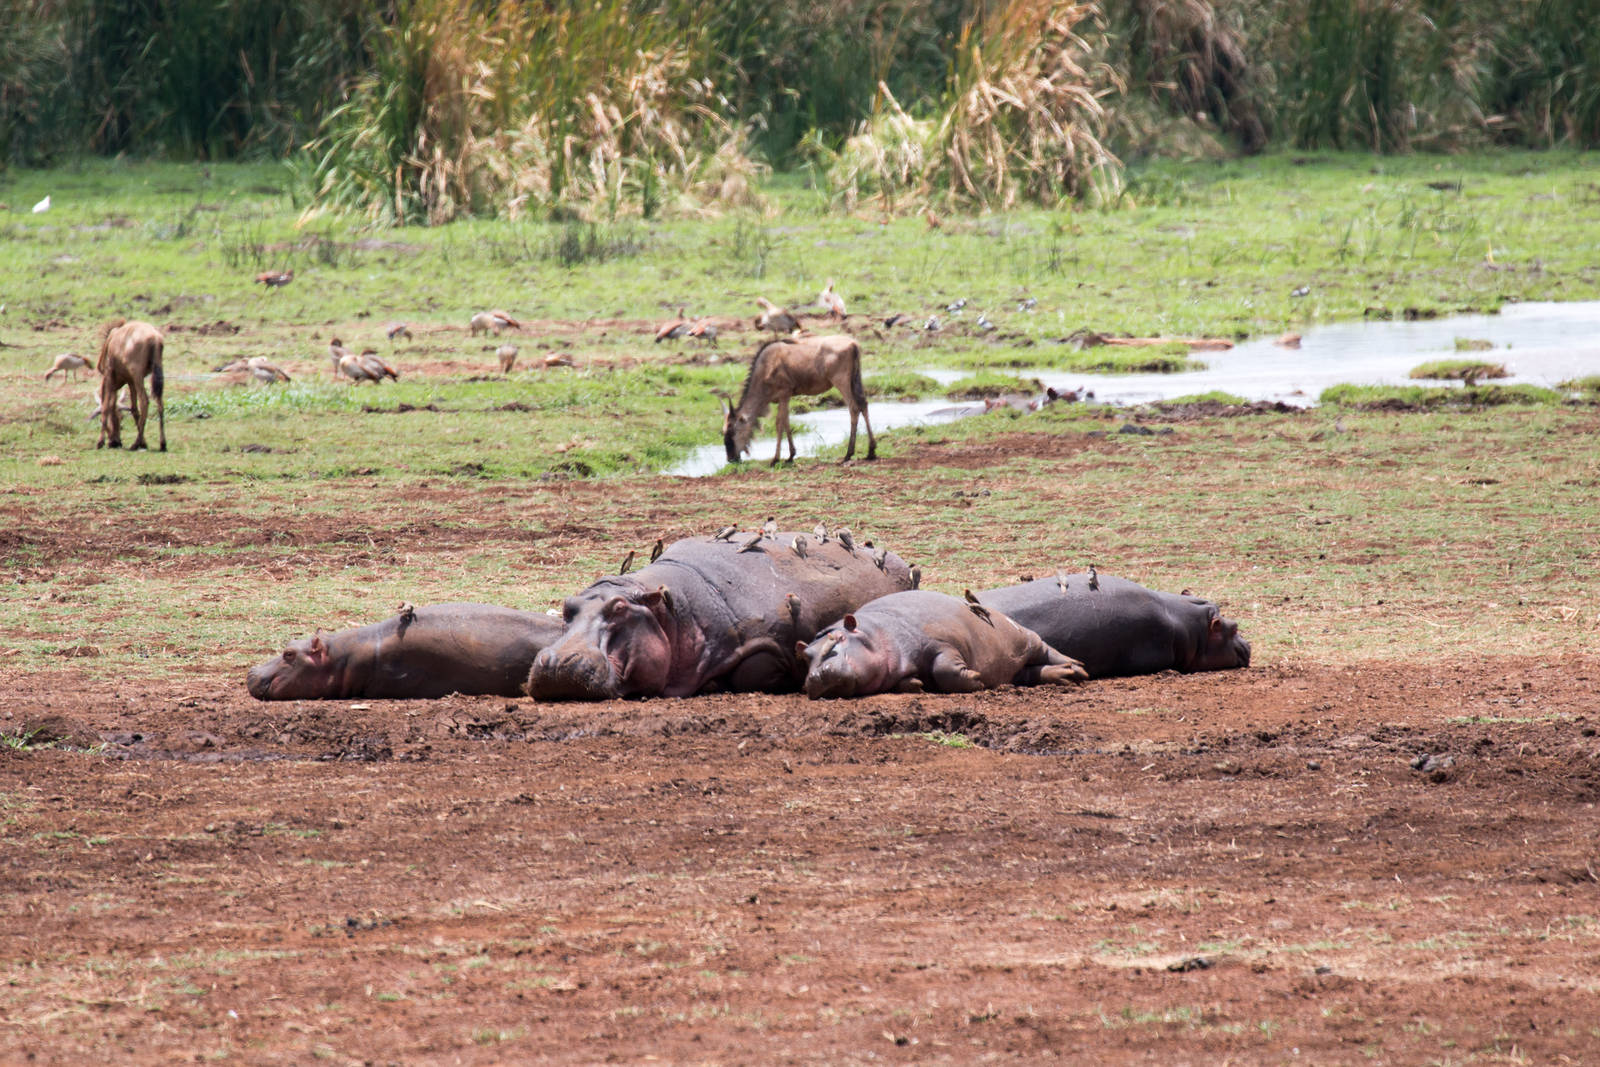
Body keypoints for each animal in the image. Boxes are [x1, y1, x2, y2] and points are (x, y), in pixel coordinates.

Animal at [527, 532, 914, 700]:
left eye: (619, 609)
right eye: (568, 606)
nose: (557, 662)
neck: (671, 611)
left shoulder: (765, 645)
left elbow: (751, 672)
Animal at [797, 590, 1089, 699]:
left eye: (839, 638)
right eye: (806, 654)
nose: (815, 676)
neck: (874, 633)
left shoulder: (941, 643)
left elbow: (944, 667)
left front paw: (976, 678)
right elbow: (909, 681)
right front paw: (916, 684)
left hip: (1026, 637)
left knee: (1048, 650)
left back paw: (1077, 667)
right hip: (1014, 665)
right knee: (1031, 672)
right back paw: (1067, 675)